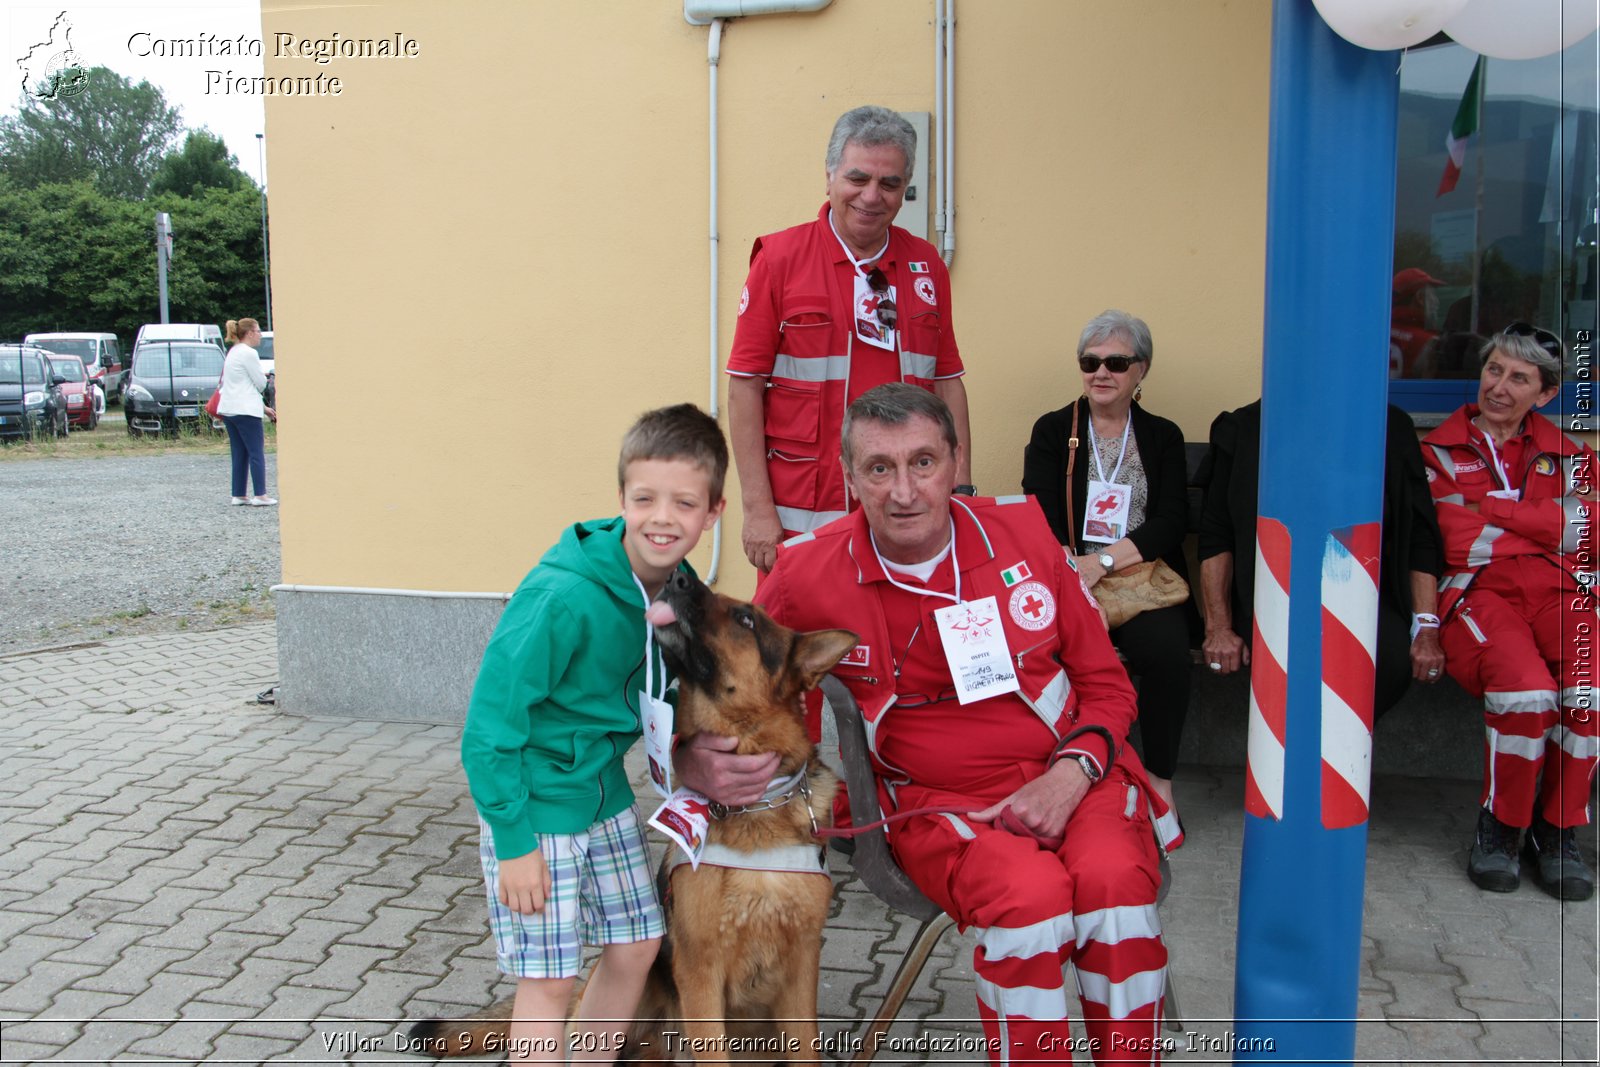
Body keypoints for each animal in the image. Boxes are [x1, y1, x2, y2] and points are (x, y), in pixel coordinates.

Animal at [412, 566, 864, 1062]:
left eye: (746, 619)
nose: (679, 576)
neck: (757, 804)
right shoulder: (700, 974)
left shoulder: (801, 969)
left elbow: (806, 1051)